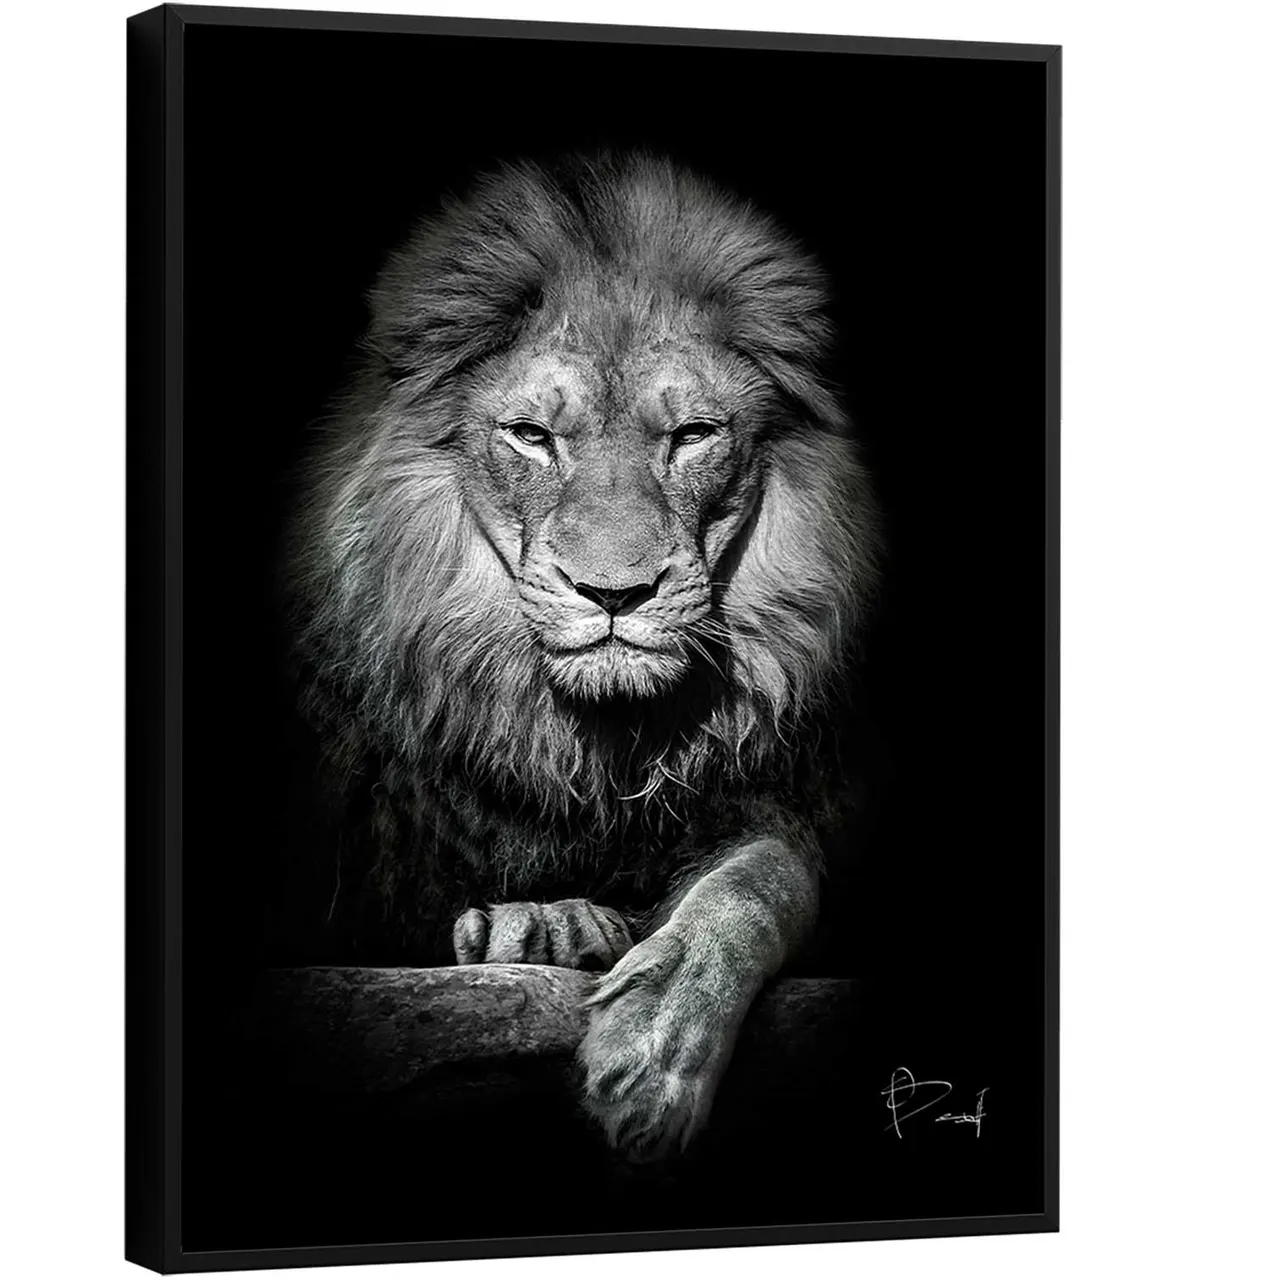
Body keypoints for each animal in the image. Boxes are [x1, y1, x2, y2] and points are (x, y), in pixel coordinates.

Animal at [283, 151, 880, 1162]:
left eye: (693, 435)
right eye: (532, 436)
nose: (615, 594)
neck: (593, 748)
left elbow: (758, 883)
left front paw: (655, 1043)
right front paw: (540, 926)